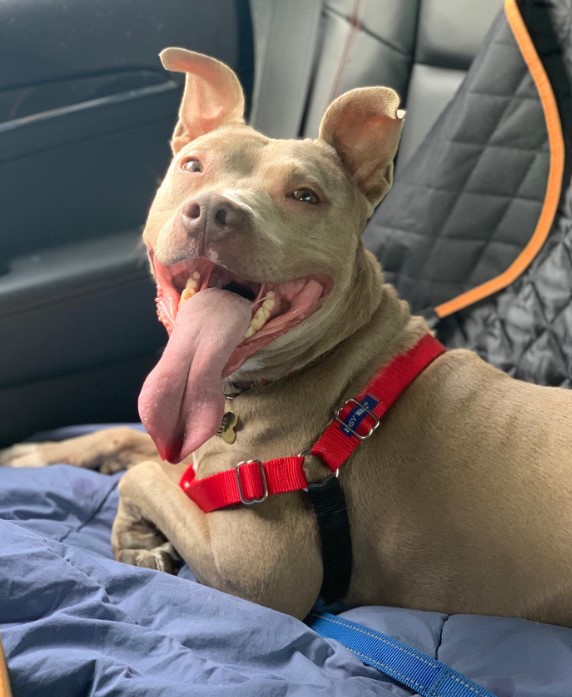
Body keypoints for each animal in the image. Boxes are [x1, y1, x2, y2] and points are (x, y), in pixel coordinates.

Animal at [3, 49, 572, 624]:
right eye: (193, 166)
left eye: (306, 195)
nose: (213, 212)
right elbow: (140, 447)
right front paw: (41, 456)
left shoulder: (262, 574)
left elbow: (145, 475)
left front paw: (137, 535)